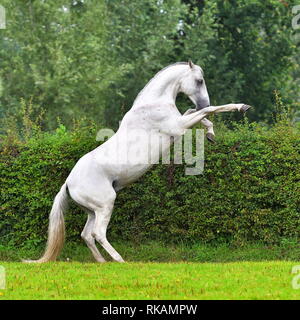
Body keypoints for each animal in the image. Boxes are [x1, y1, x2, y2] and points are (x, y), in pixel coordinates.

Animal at [25, 61, 251, 264]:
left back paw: (102, 261)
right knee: (98, 233)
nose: (202, 102)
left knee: (86, 235)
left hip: (93, 210)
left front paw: (211, 134)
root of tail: (68, 183)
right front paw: (241, 107)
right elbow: (209, 111)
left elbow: (197, 114)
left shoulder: (181, 121)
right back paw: (119, 260)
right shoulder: (178, 127)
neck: (153, 104)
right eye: (199, 80)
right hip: (106, 204)